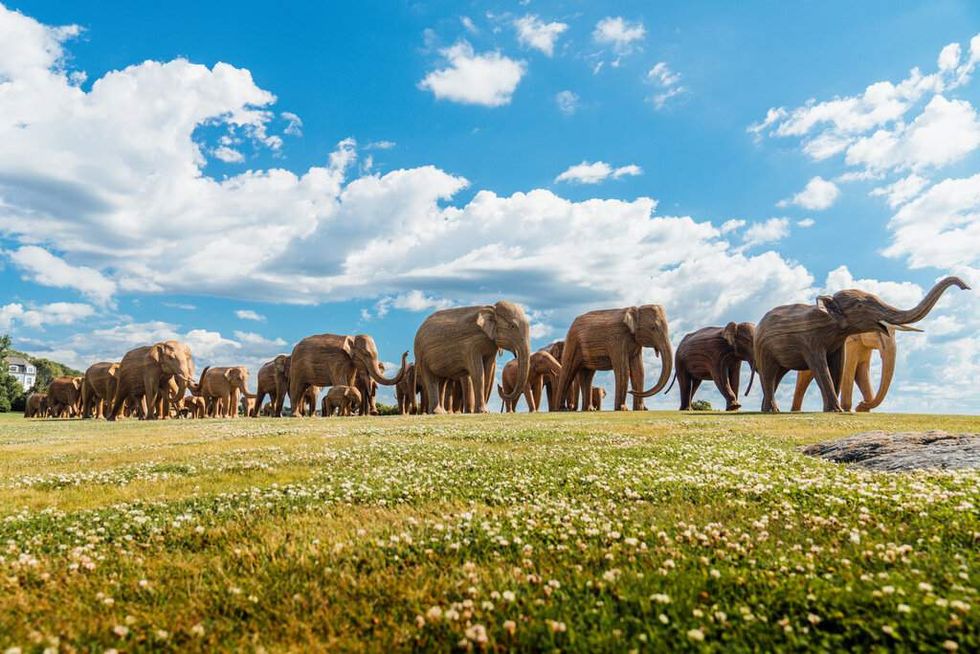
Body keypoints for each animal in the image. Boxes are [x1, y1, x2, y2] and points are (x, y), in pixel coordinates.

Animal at [755, 276, 969, 412]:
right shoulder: (811, 339)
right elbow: (822, 366)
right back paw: (773, 410)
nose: (966, 287)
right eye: (860, 305)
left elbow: (838, 366)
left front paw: (837, 410)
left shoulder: (840, 343)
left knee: (776, 376)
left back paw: (769, 409)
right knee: (769, 373)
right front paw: (839, 410)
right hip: (763, 347)